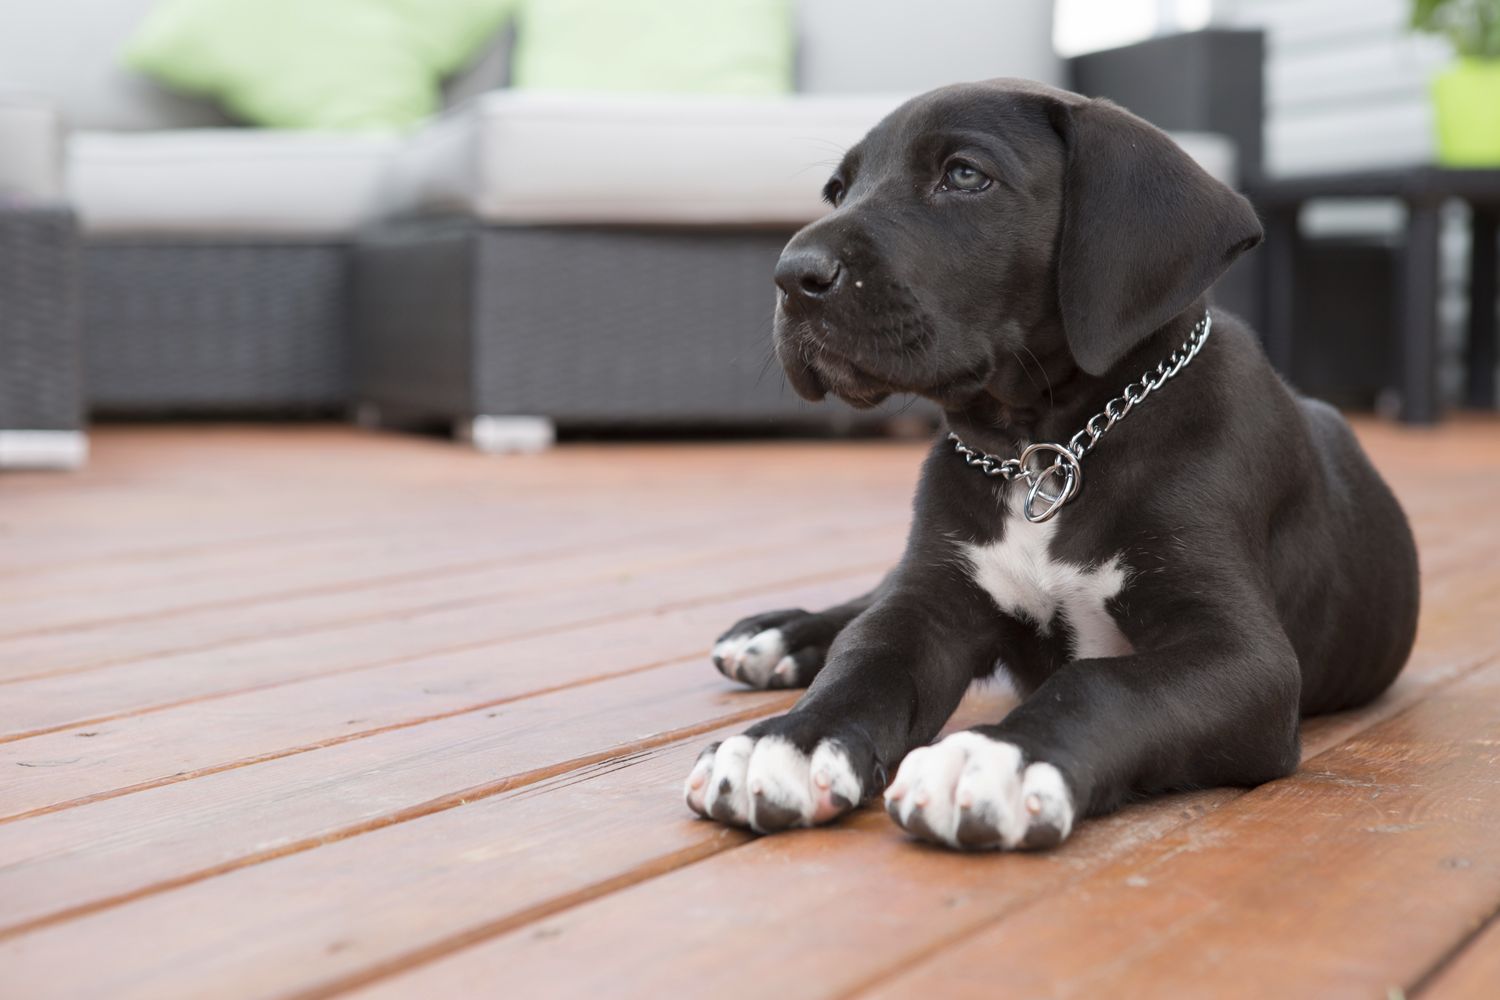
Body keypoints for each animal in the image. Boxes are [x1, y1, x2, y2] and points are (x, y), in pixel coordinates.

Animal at [684, 76, 1416, 851]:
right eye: (836, 191)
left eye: (964, 175)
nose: (792, 275)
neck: (1044, 451)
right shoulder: (931, 600)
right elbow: (866, 653)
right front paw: (787, 740)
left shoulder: (1246, 657)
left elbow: (1100, 683)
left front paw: (999, 757)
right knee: (866, 602)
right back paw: (782, 634)